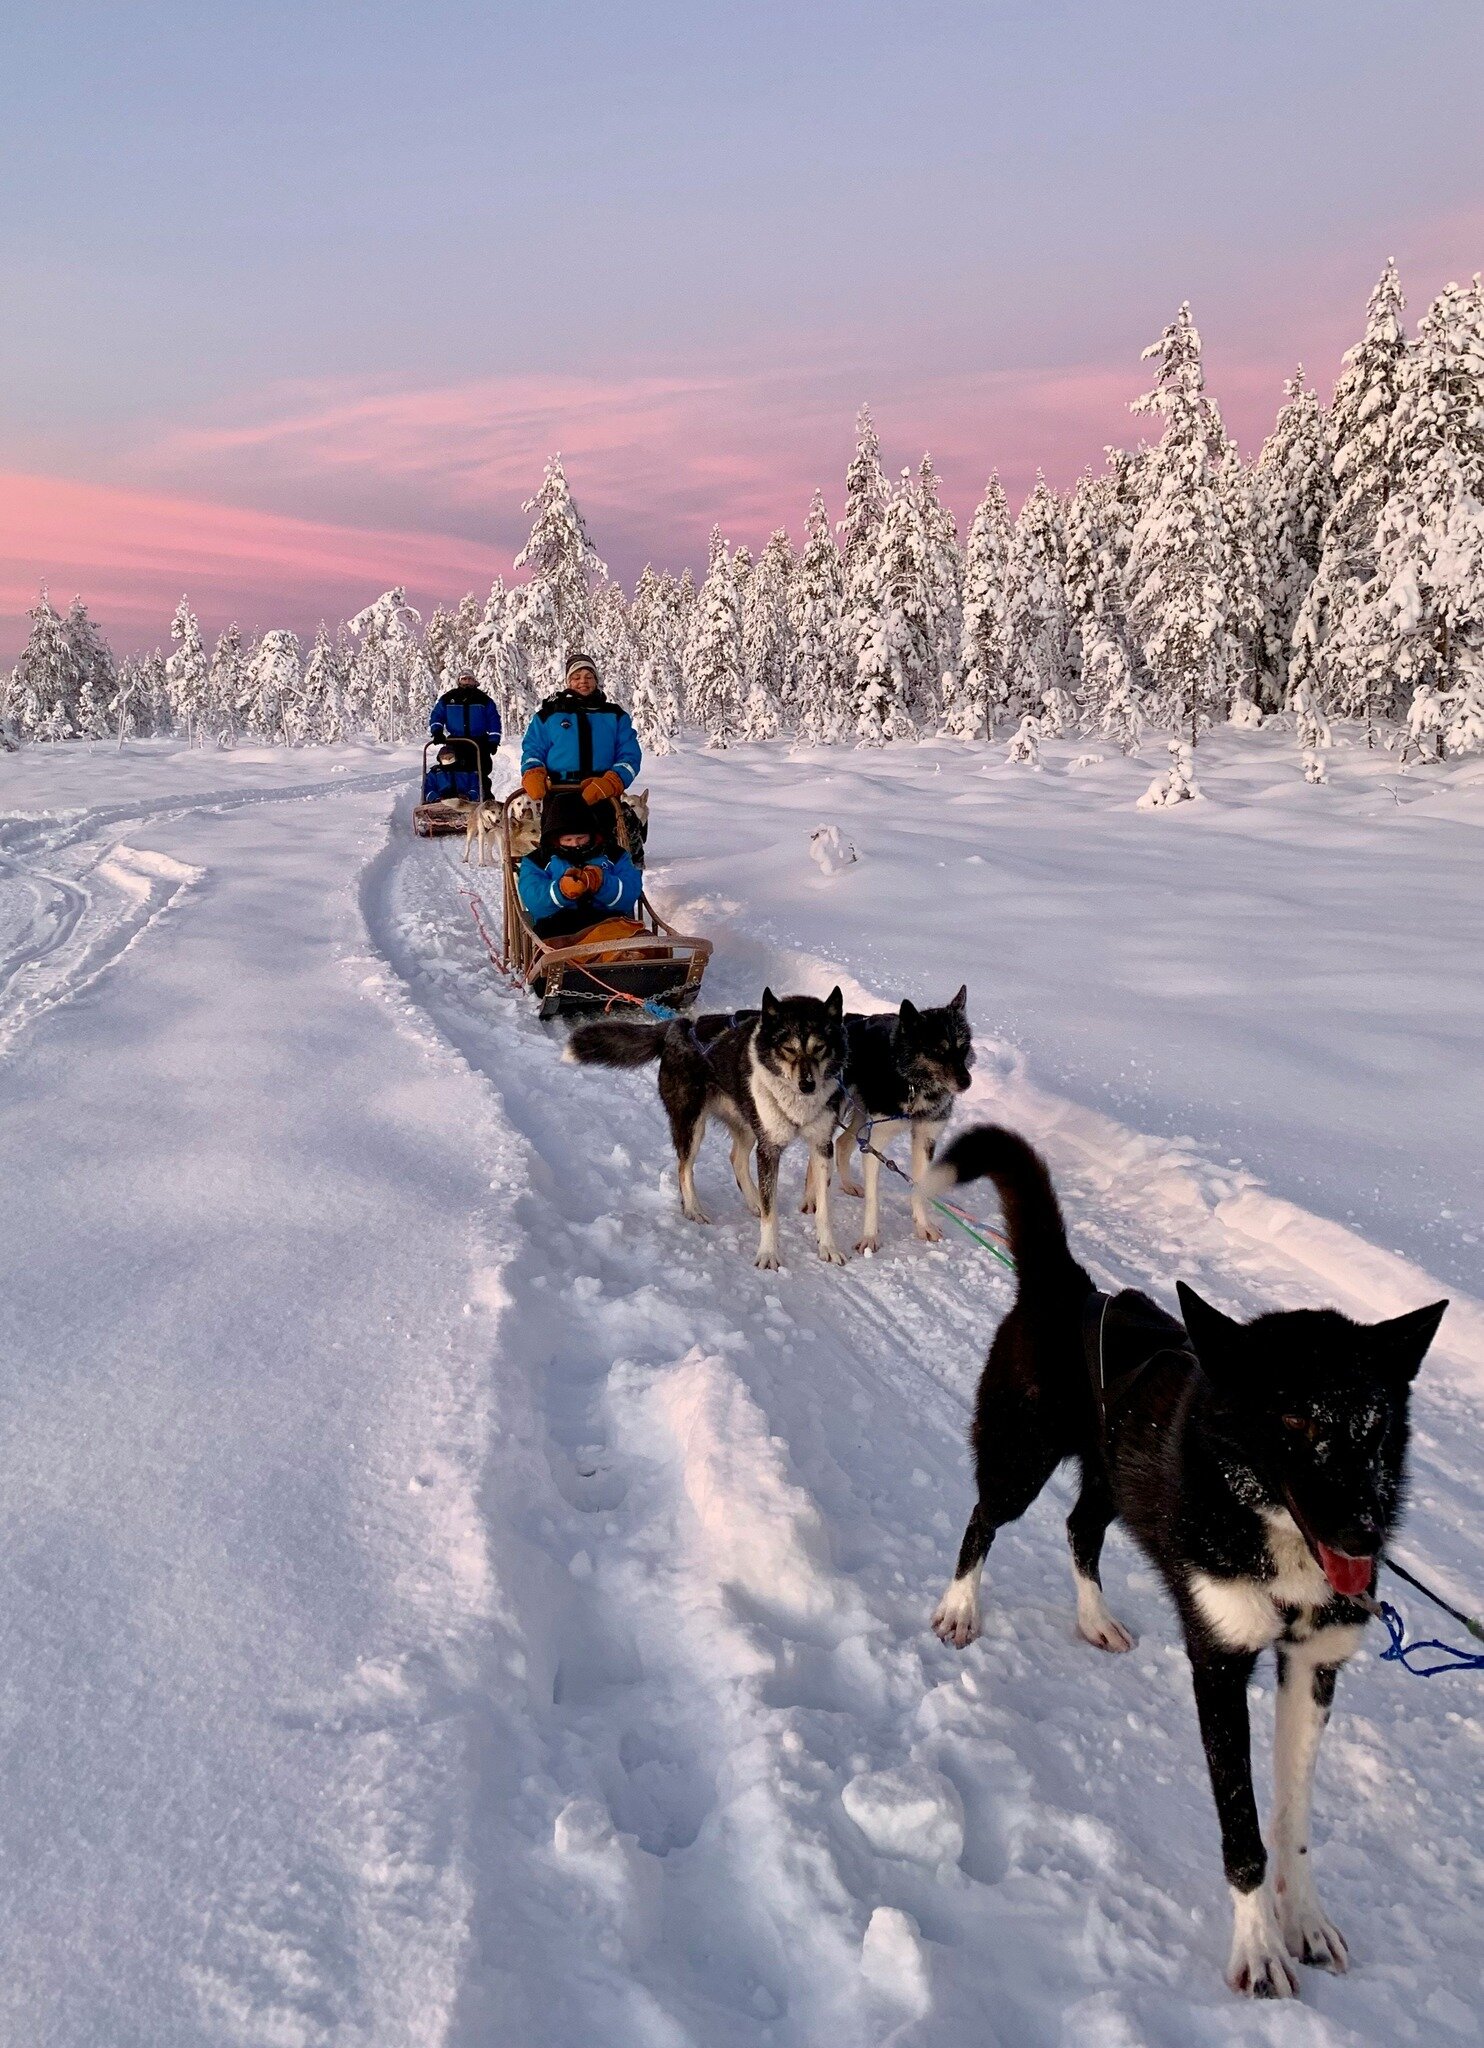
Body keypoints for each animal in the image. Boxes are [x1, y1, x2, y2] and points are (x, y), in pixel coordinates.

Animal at [564, 987, 843, 1261]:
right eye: (788, 1049)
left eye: (820, 1047)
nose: (808, 1085)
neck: (798, 1104)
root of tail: (680, 1026)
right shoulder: (769, 1149)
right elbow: (770, 1212)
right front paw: (768, 1254)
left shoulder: (821, 1146)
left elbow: (824, 1207)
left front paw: (828, 1247)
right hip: (692, 1125)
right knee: (684, 1167)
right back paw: (693, 1208)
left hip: (746, 1122)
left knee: (736, 1159)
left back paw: (753, 1199)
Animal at [835, 987, 974, 1253]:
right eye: (938, 1051)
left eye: (963, 1048)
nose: (966, 1082)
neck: (914, 1086)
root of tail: (850, 1019)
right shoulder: (877, 1142)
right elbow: (873, 1198)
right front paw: (870, 1237)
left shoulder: (925, 1138)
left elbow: (920, 1188)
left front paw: (924, 1225)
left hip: (863, 1118)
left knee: (842, 1143)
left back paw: (846, 1184)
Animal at [925, 1122, 1449, 1998]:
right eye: (1295, 1420)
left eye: (1374, 1422)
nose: (1367, 1537)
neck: (1268, 1531)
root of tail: (1071, 1290)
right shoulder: (1220, 1663)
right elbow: (1243, 1827)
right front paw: (1260, 1947)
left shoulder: (1313, 1666)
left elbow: (1293, 1816)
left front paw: (1305, 1919)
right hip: (1020, 1459)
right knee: (981, 1522)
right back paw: (961, 1606)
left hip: (1113, 1482)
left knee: (1079, 1528)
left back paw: (1096, 1619)